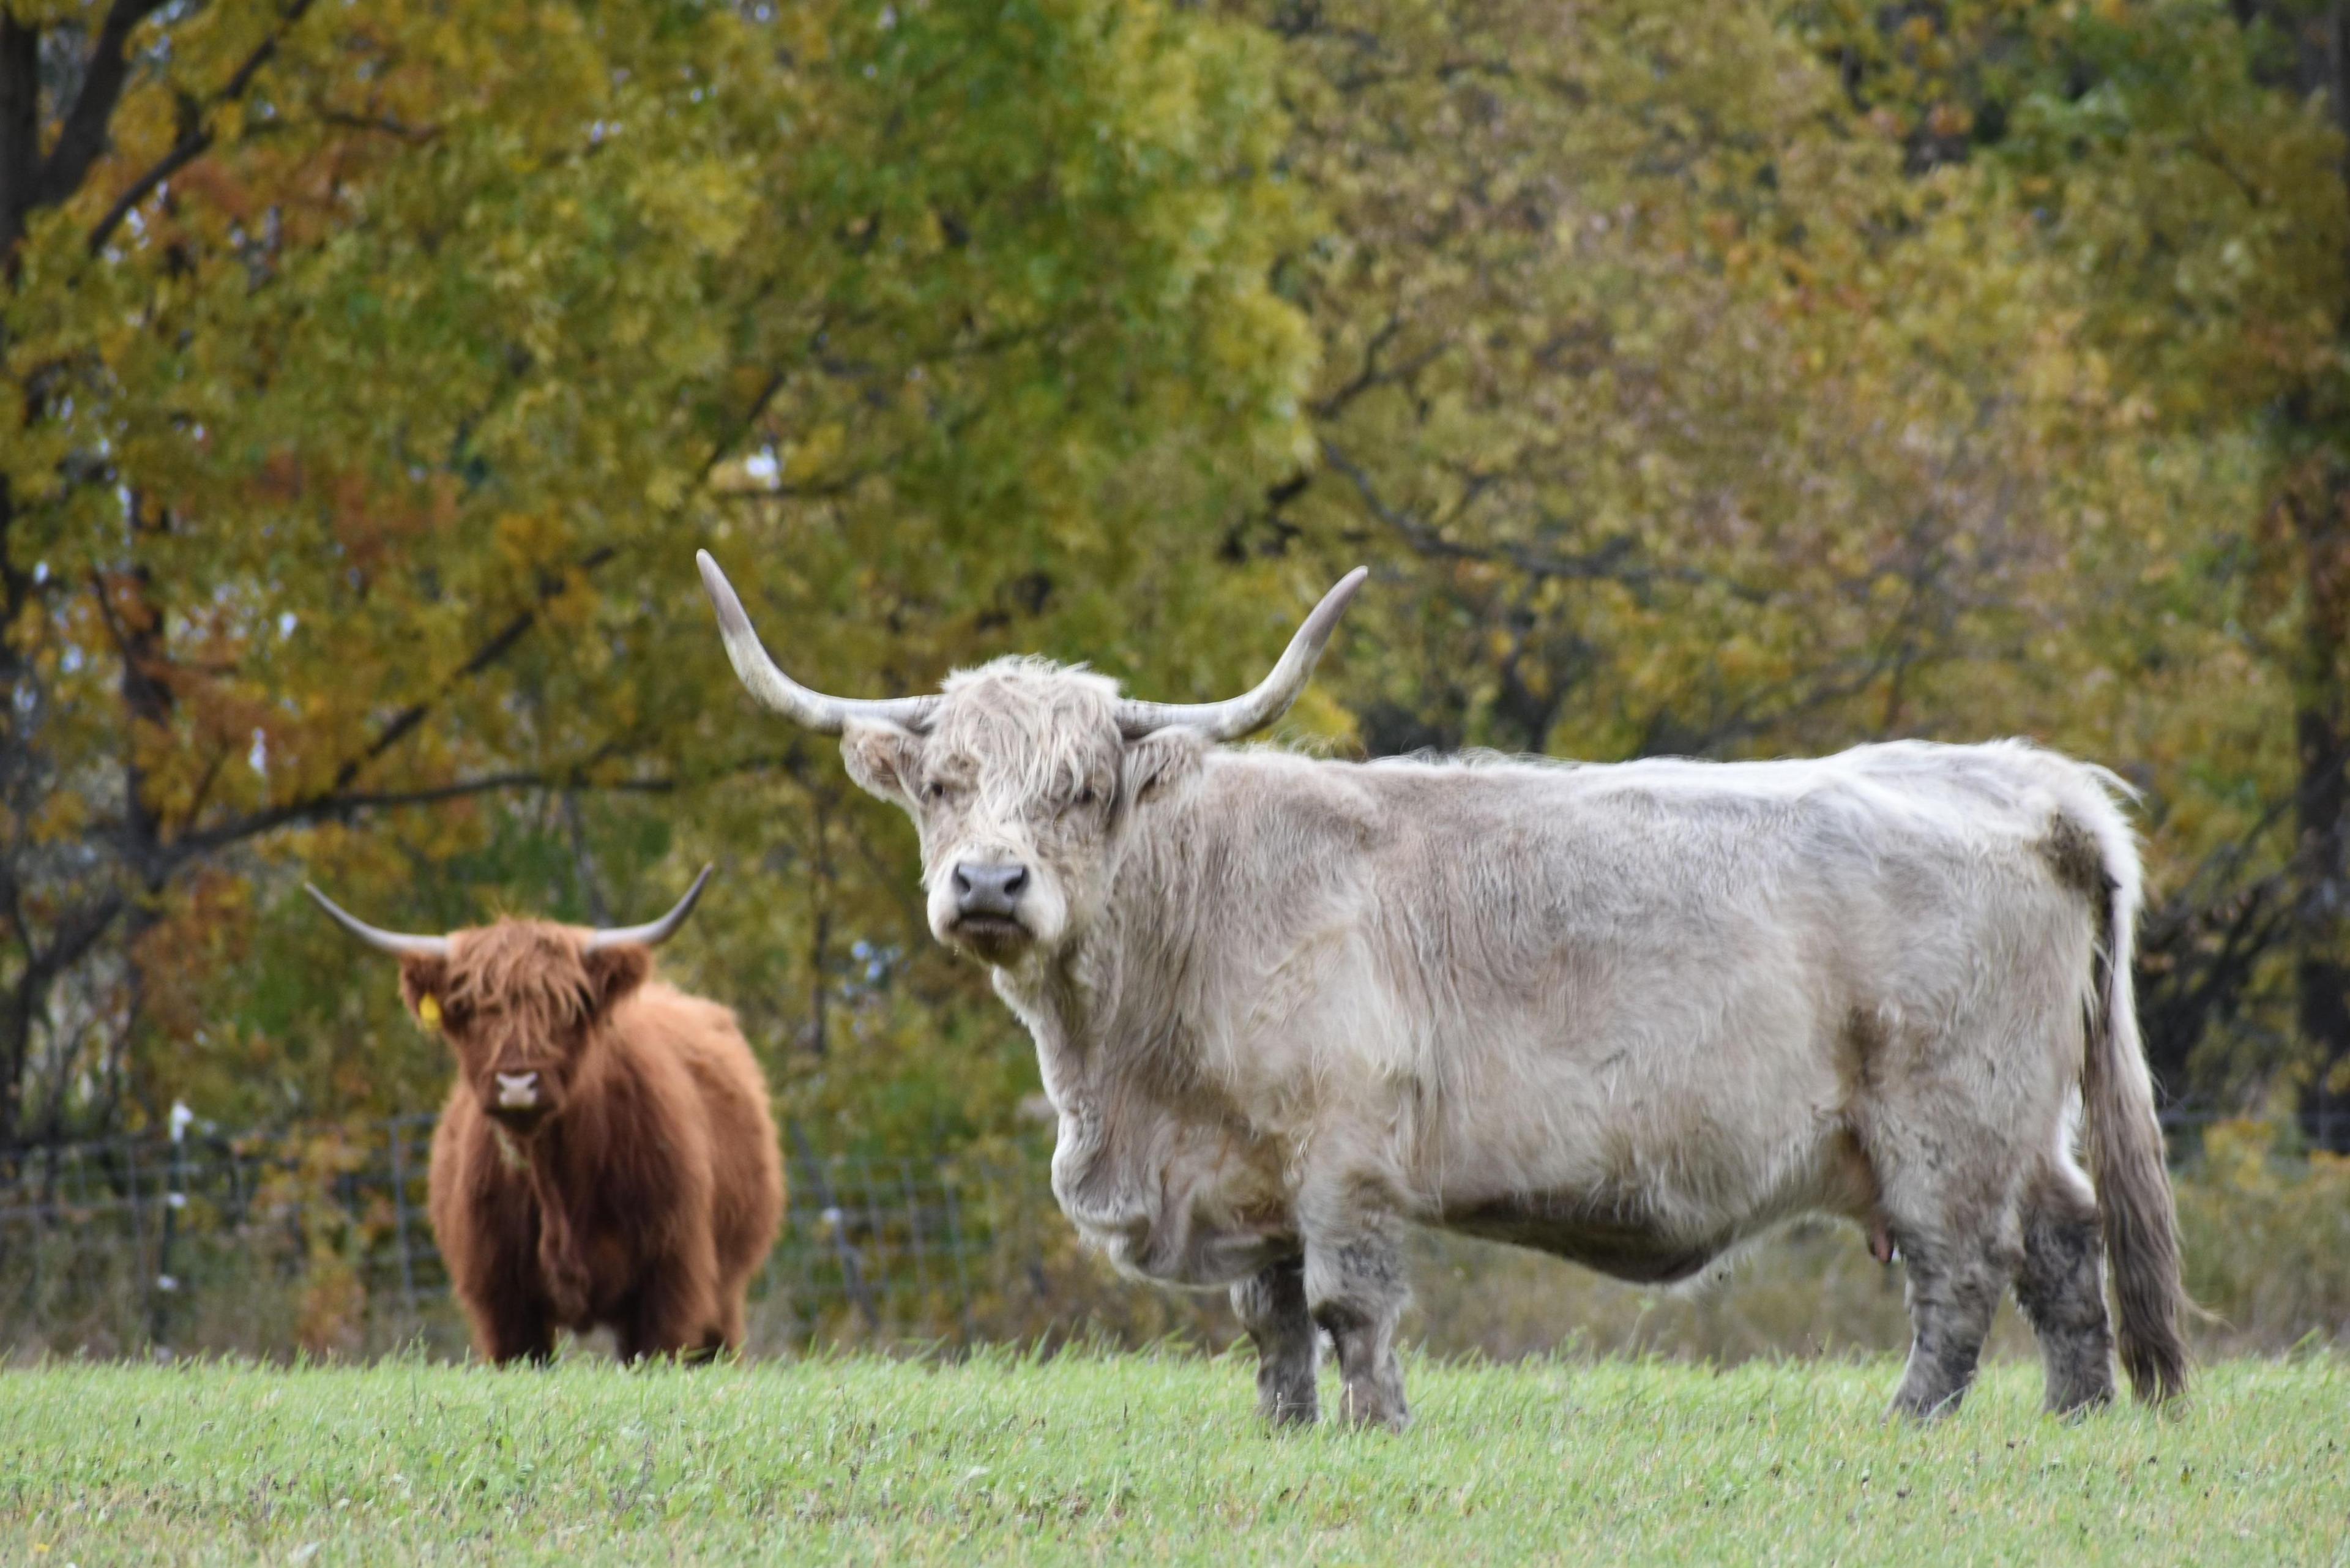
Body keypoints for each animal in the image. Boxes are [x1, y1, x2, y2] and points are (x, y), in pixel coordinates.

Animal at [298, 870, 780, 1363]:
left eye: (566, 1006)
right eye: (471, 1009)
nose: (517, 1084)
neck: (557, 1183)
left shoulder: (670, 1284)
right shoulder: (501, 1304)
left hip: (723, 1293)